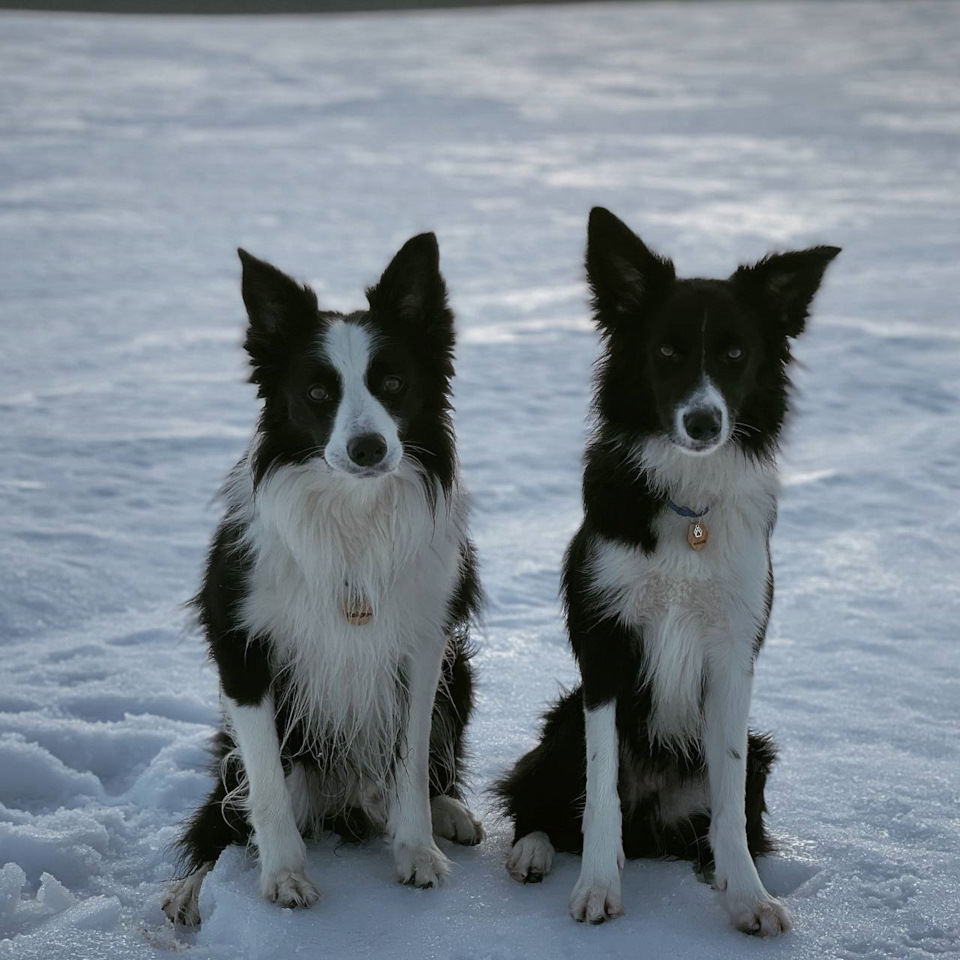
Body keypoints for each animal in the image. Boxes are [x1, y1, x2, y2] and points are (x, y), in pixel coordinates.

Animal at [162, 229, 488, 928]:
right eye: (317, 393)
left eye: (392, 382)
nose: (368, 449)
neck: (352, 519)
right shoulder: (243, 651)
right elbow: (265, 787)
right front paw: (284, 878)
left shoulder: (425, 646)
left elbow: (411, 761)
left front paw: (416, 851)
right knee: (222, 818)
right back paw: (190, 891)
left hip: (462, 671)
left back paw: (450, 813)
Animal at [496, 206, 840, 932]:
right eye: (666, 352)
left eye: (735, 353)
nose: (704, 421)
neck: (689, 503)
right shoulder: (604, 645)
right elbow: (600, 791)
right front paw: (597, 888)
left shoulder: (735, 652)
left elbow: (730, 800)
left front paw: (747, 897)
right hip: (562, 725)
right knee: (535, 800)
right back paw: (531, 852)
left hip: (761, 751)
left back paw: (713, 866)